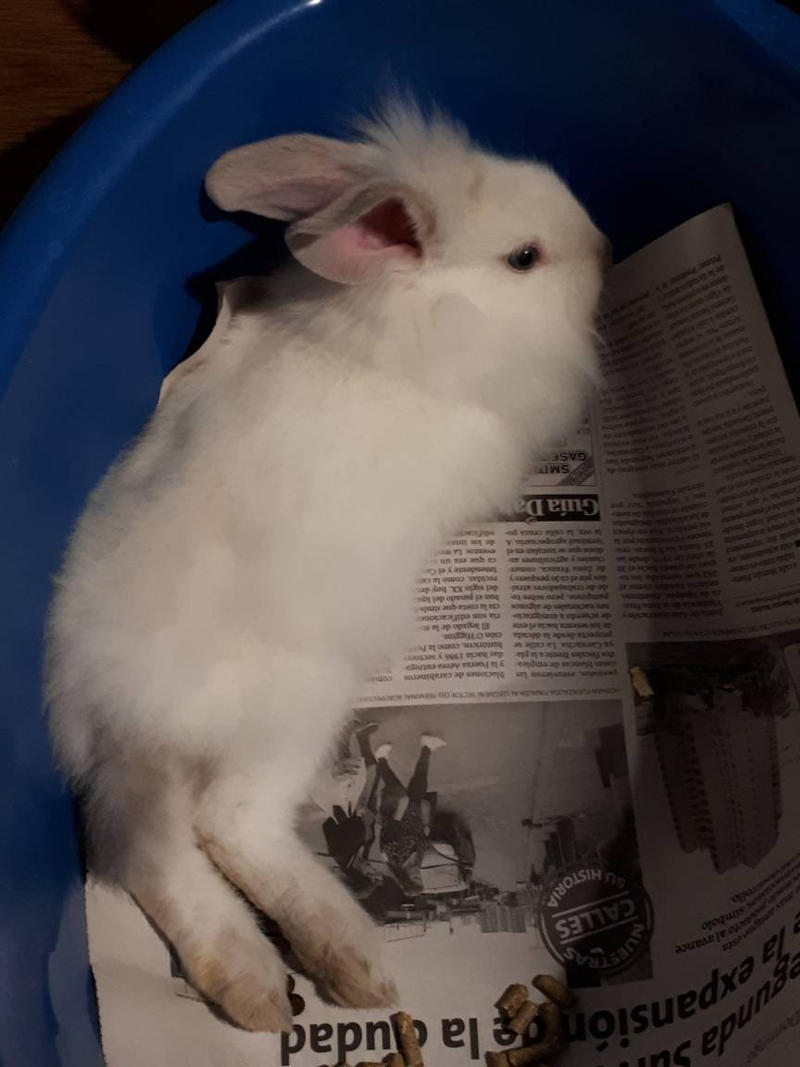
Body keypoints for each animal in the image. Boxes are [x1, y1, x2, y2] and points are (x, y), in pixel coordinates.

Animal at [45, 101, 608, 1032]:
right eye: (524, 257)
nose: (601, 242)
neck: (407, 322)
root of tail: (122, 714)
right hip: (297, 711)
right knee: (222, 825)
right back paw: (343, 963)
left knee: (151, 850)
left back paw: (249, 977)